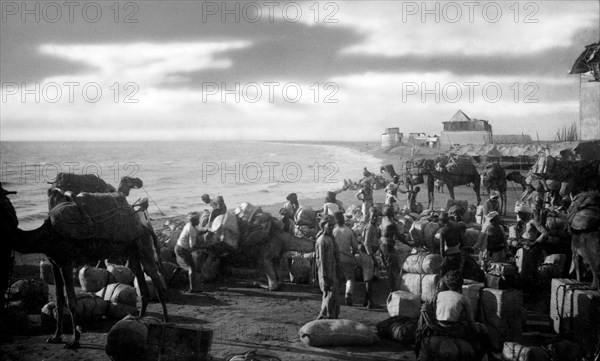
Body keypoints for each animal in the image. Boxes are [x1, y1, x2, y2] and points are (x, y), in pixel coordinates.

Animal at [1, 187, 169, 348]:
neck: (44, 236)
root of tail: (143, 224)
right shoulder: (55, 263)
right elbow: (59, 300)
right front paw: (56, 337)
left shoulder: (66, 263)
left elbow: (71, 302)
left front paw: (74, 341)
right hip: (131, 253)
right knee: (142, 284)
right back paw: (139, 319)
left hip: (143, 245)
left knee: (154, 278)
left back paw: (166, 321)